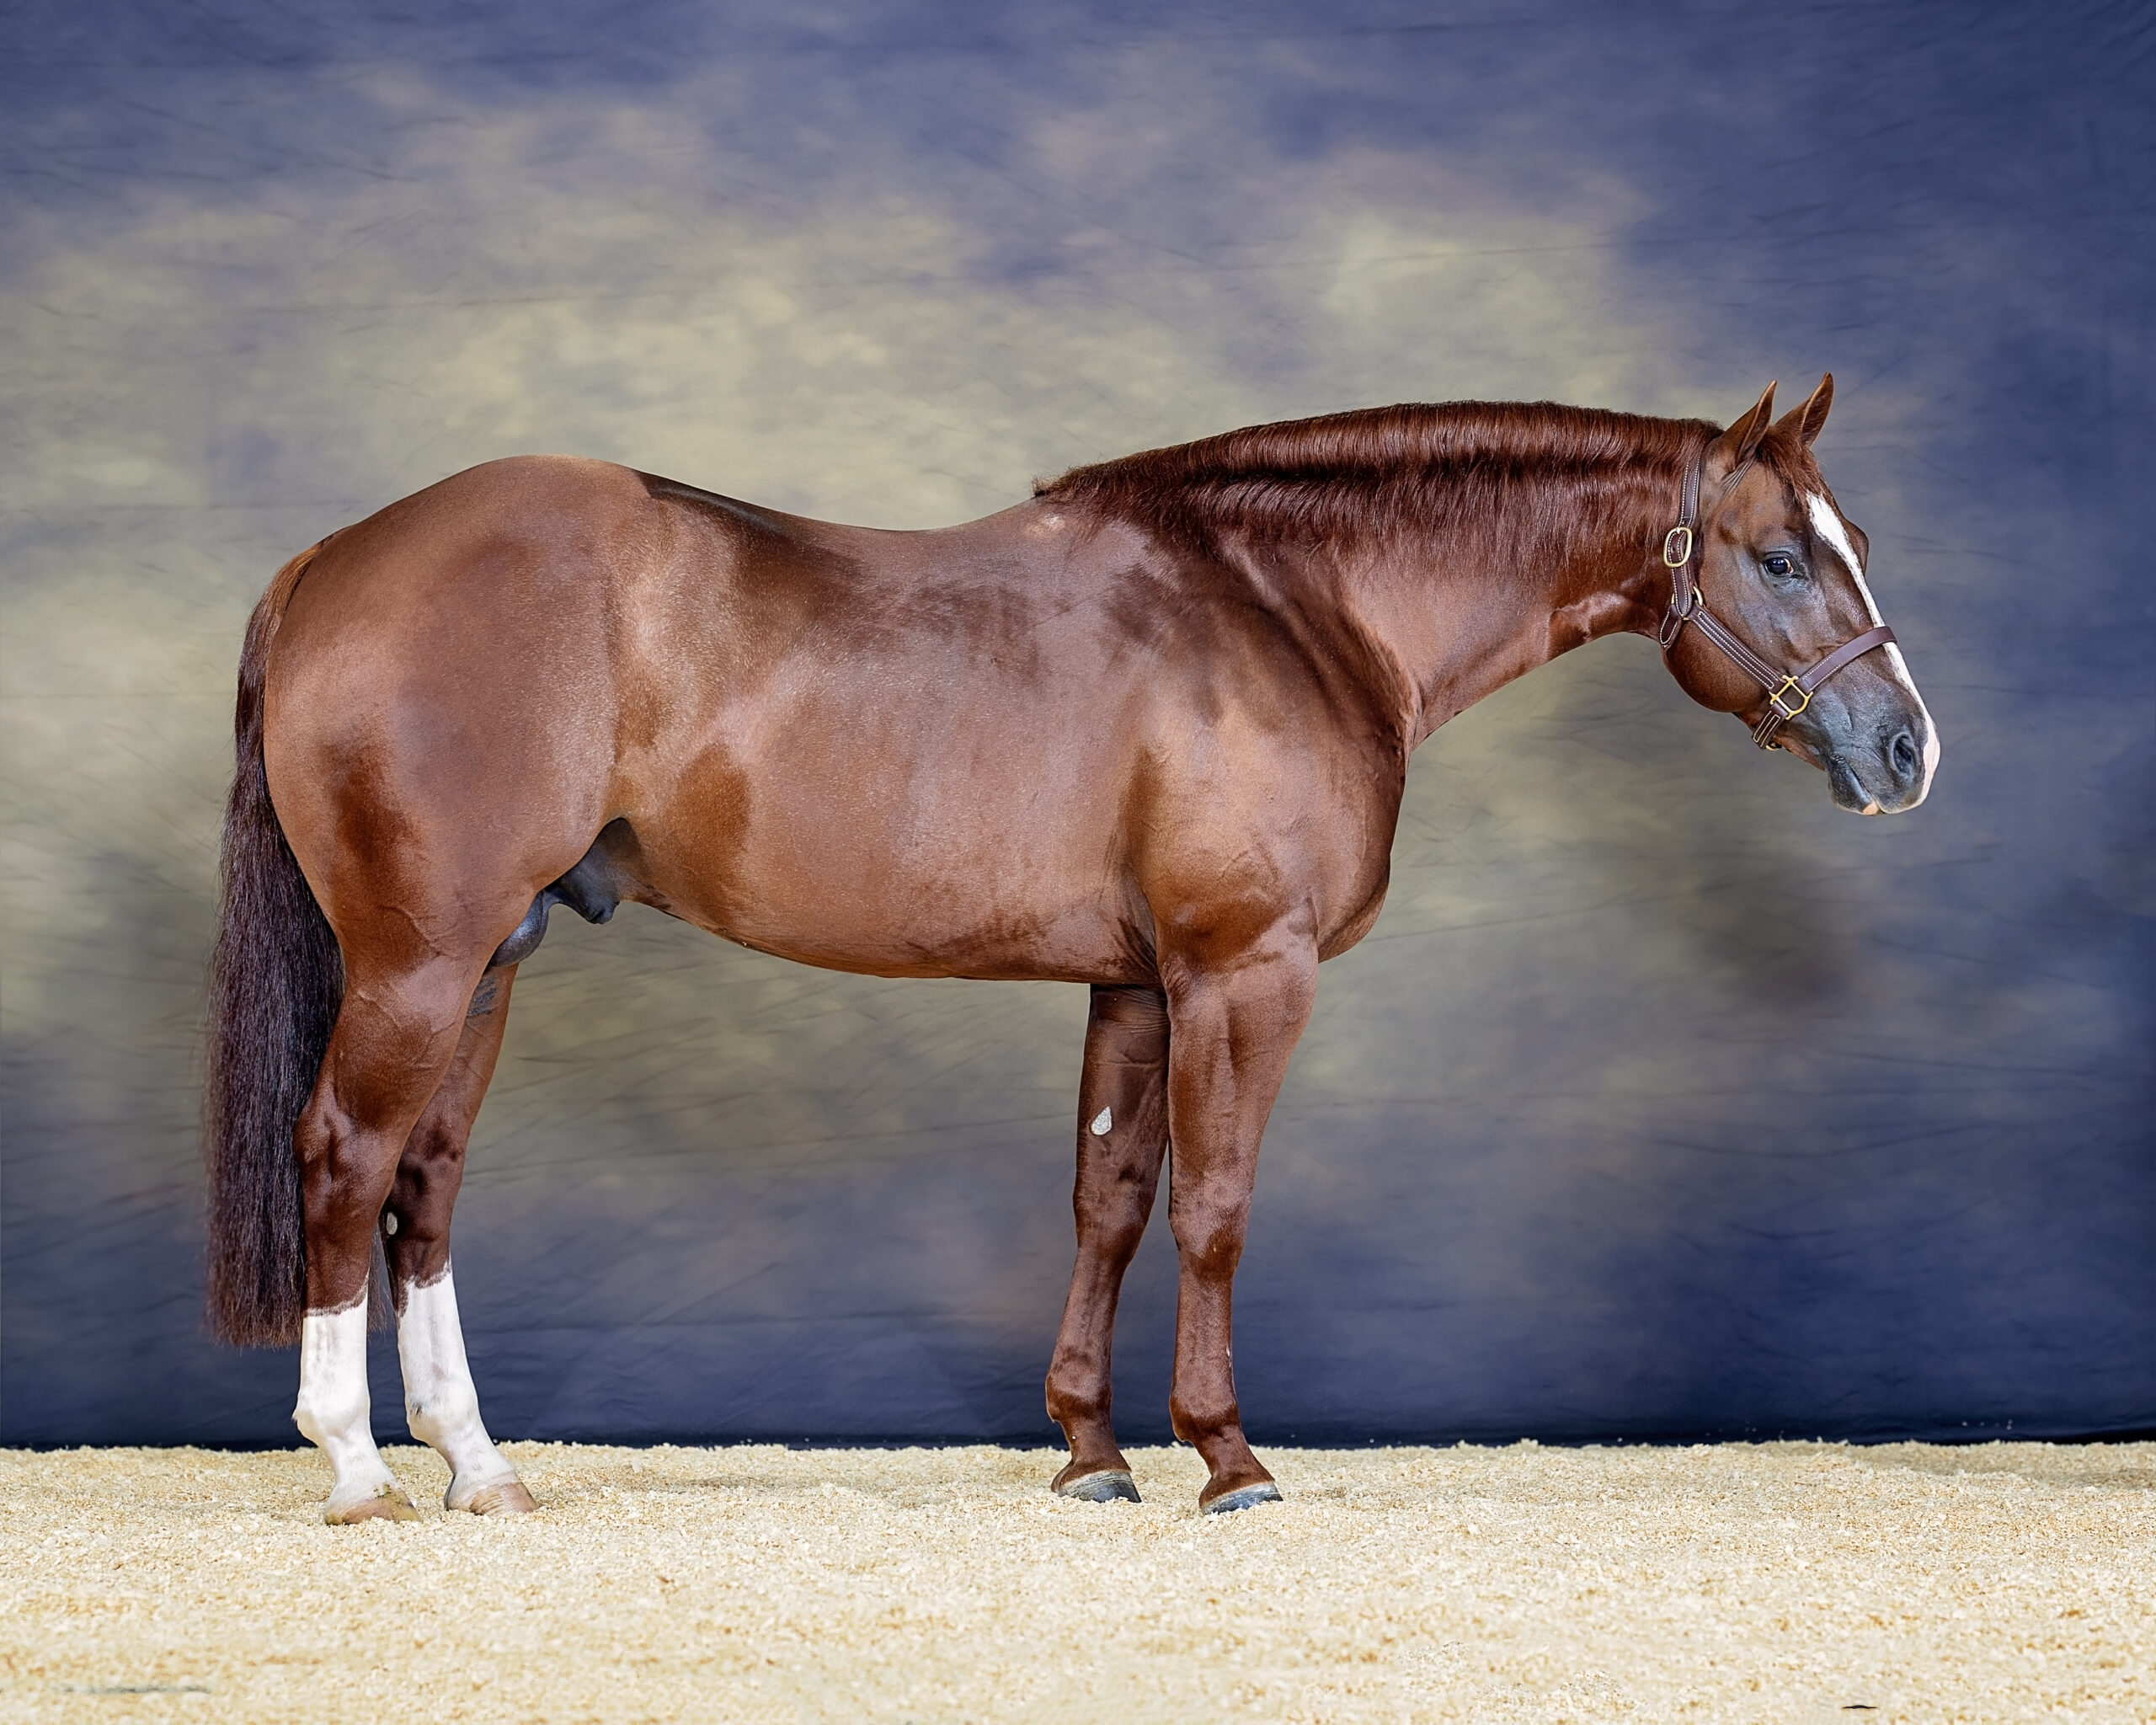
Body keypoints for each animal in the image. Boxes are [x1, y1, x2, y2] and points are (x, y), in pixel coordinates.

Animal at [203, 375, 1937, 1522]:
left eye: (1848, 537)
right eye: (1784, 556)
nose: (1907, 747)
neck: (1292, 607)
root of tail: (329, 563)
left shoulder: (1134, 982)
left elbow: (1110, 1201)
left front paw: (1094, 1455)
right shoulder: (1246, 970)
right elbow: (1217, 1208)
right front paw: (1226, 1458)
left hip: (493, 960)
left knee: (426, 1186)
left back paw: (478, 1466)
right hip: (421, 962)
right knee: (345, 1155)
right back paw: (352, 1465)